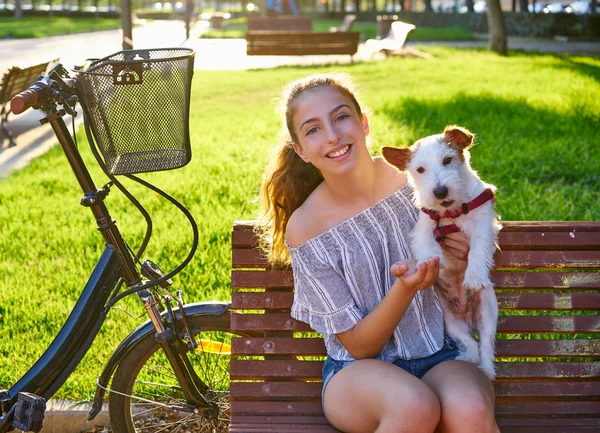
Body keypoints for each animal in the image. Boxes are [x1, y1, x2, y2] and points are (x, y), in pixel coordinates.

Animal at [384, 125, 502, 378]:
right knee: (471, 345)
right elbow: (424, 241)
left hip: (488, 312)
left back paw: (487, 369)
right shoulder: (424, 224)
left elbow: (478, 249)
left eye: (447, 160)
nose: (439, 191)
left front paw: (473, 276)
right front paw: (431, 258)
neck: (452, 212)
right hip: (451, 323)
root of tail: (467, 316)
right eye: (420, 169)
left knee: (485, 344)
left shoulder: (482, 224)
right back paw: (466, 357)